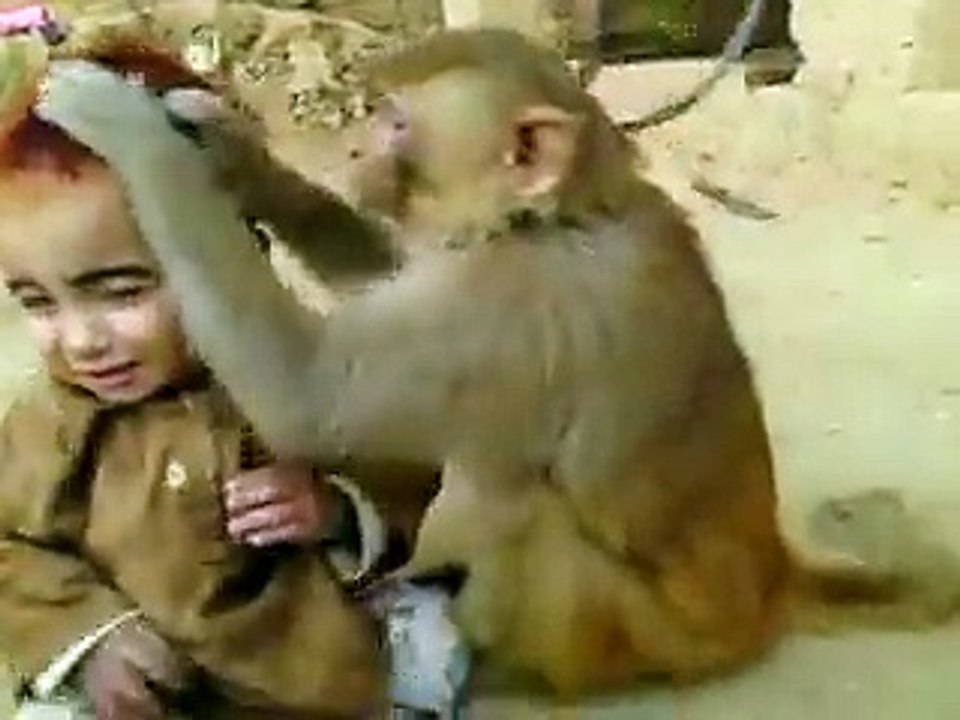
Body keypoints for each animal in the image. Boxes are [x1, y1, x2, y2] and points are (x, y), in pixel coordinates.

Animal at [35, 29, 954, 697]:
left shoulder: (514, 306)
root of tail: (772, 586)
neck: (561, 215)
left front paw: (126, 128)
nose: (359, 153)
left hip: (655, 639)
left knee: (516, 506)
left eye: (397, 123)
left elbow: (307, 392)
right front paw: (229, 152)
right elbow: (387, 267)